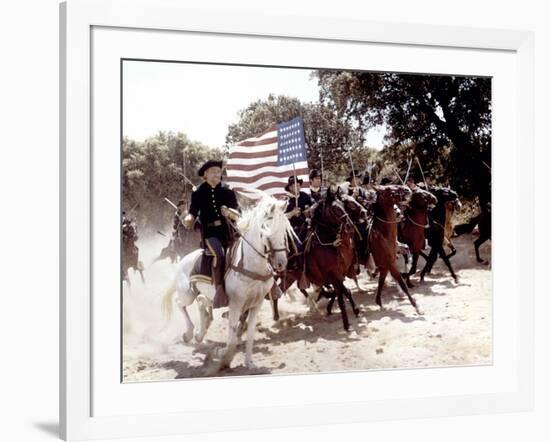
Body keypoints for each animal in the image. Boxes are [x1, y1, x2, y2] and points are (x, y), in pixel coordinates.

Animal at [162, 195, 296, 372]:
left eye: (284, 231)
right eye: (267, 231)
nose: (281, 263)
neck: (251, 265)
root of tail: (183, 260)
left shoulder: (256, 304)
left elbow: (250, 334)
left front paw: (249, 363)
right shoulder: (236, 304)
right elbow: (232, 338)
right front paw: (223, 357)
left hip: (208, 296)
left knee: (201, 301)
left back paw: (199, 333)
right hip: (187, 294)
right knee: (180, 302)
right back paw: (189, 333)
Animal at [370, 184, 422, 314]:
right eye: (388, 189)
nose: (407, 189)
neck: (383, 235)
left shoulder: (386, 265)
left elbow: (381, 282)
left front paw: (379, 303)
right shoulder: (391, 264)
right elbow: (402, 282)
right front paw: (417, 307)